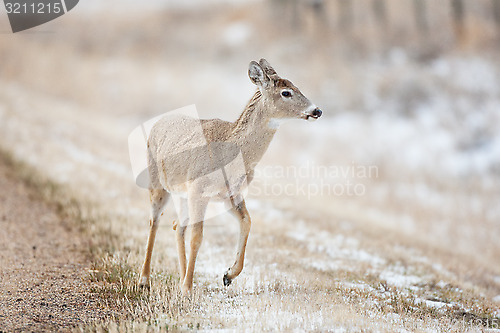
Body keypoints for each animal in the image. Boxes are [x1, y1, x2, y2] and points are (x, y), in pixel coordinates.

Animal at [139, 57, 322, 294]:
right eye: (286, 92)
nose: (317, 110)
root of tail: (158, 123)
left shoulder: (231, 194)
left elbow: (247, 221)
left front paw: (228, 274)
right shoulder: (199, 190)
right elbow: (197, 238)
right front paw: (188, 289)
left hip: (182, 194)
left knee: (177, 225)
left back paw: (180, 277)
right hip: (158, 182)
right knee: (155, 221)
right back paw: (145, 280)